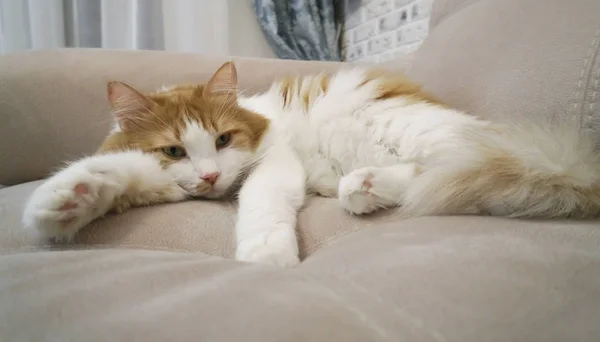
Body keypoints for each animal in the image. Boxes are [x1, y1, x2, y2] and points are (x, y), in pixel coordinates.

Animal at [22, 60, 600, 264]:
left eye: (224, 139)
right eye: (174, 151)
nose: (210, 175)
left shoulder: (272, 163)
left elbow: (258, 204)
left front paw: (264, 256)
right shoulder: (155, 177)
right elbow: (105, 175)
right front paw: (62, 205)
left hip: (413, 132)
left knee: (453, 177)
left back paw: (360, 187)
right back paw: (360, 188)